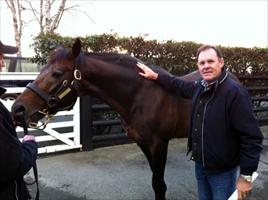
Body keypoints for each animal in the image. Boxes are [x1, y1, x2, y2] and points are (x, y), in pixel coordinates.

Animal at [11, 38, 199, 199]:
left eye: (57, 73)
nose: (18, 109)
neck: (141, 94)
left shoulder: (158, 144)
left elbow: (159, 185)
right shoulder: (144, 143)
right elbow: (156, 182)